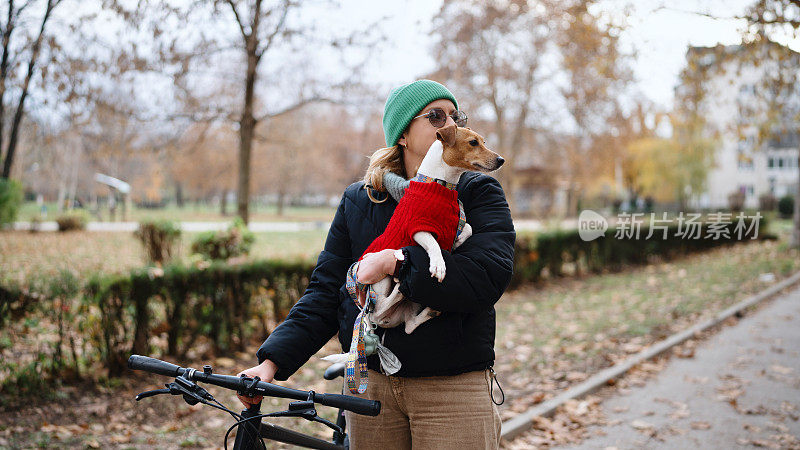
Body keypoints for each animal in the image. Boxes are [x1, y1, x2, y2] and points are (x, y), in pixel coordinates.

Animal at [366, 123, 504, 334]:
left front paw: (458, 241)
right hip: (380, 283)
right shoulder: (418, 227)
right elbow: (433, 244)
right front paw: (439, 265)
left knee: (409, 325)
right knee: (380, 306)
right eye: (473, 142)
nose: (501, 160)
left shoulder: (456, 221)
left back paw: (427, 310)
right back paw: (397, 288)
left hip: (412, 306)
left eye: (484, 142)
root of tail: (387, 320)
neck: (441, 185)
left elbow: (469, 227)